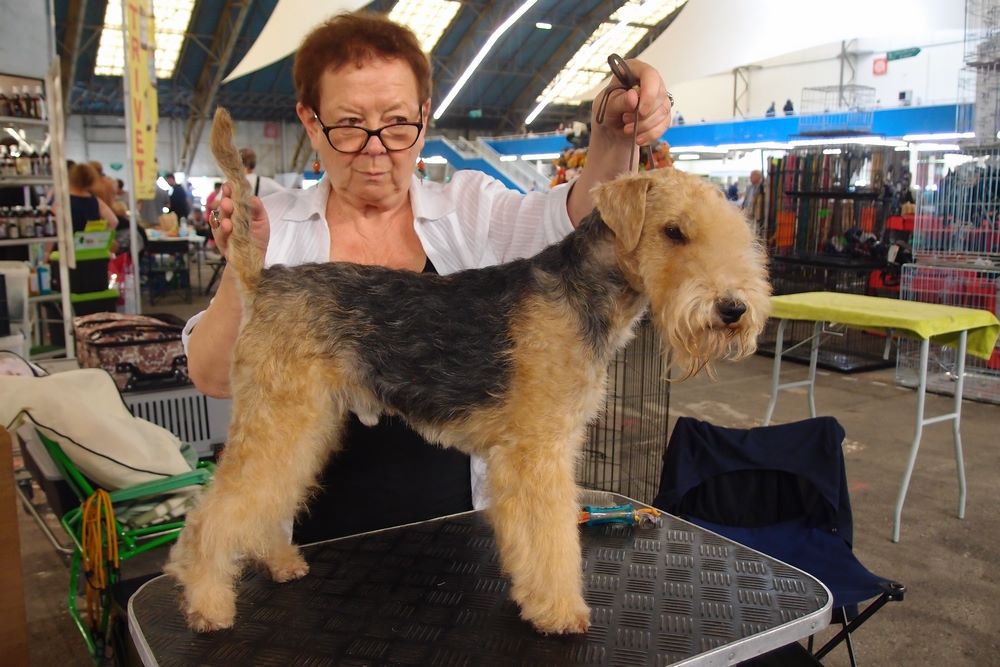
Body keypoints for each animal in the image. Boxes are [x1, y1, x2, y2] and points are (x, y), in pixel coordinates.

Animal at [166, 108, 772, 636]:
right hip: (278, 417)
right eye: (674, 232)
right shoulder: (537, 453)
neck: (585, 294)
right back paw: (208, 604)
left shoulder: (534, 452)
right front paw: (559, 612)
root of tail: (262, 279)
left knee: (269, 498)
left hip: (304, 423)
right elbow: (551, 539)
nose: (733, 309)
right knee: (212, 517)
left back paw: (279, 562)